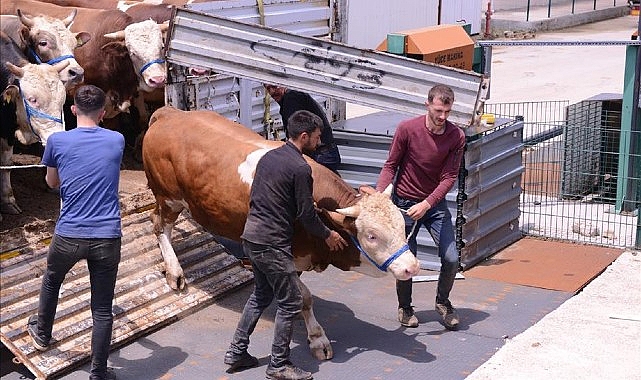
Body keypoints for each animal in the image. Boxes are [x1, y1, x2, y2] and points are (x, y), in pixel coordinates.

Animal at [141, 106, 420, 360]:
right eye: (372, 235)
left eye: (401, 224)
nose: (412, 267)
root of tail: (170, 113)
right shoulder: (285, 255)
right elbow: (304, 297)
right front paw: (318, 338)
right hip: (168, 197)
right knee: (159, 225)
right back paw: (175, 272)